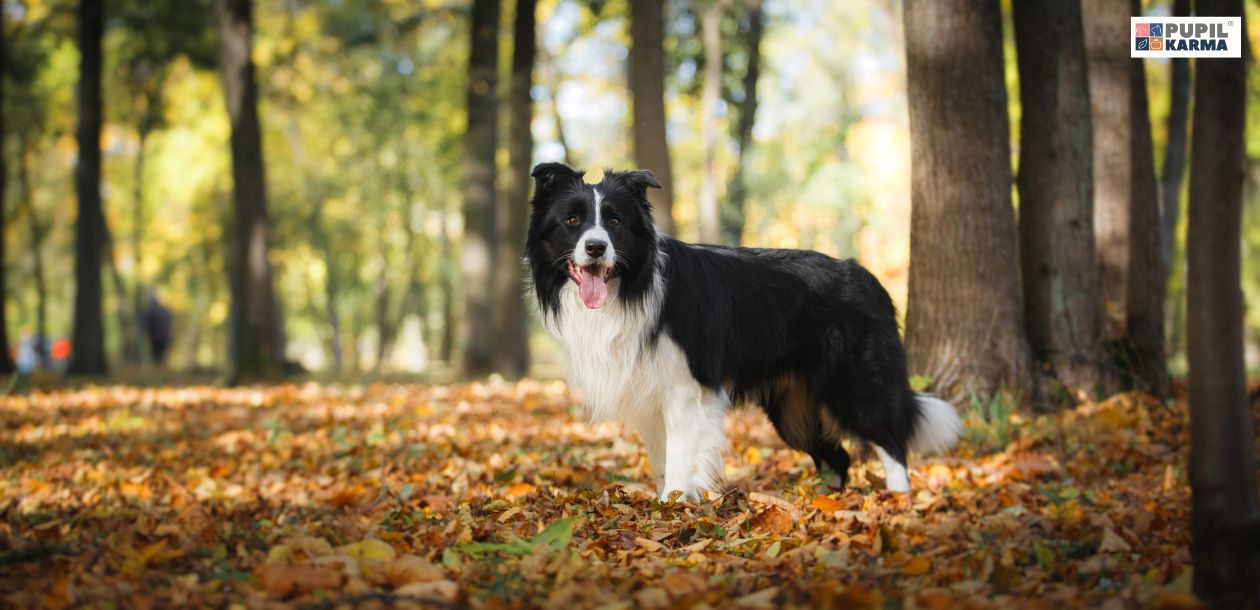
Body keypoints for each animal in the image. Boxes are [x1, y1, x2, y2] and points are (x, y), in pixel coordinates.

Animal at [526, 163, 957, 501]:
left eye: (615, 221)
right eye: (572, 221)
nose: (596, 248)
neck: (631, 286)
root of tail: (866, 275)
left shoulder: (685, 389)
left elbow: (680, 459)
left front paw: (673, 507)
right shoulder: (647, 393)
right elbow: (662, 459)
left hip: (854, 383)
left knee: (891, 442)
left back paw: (898, 501)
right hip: (793, 408)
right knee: (838, 457)